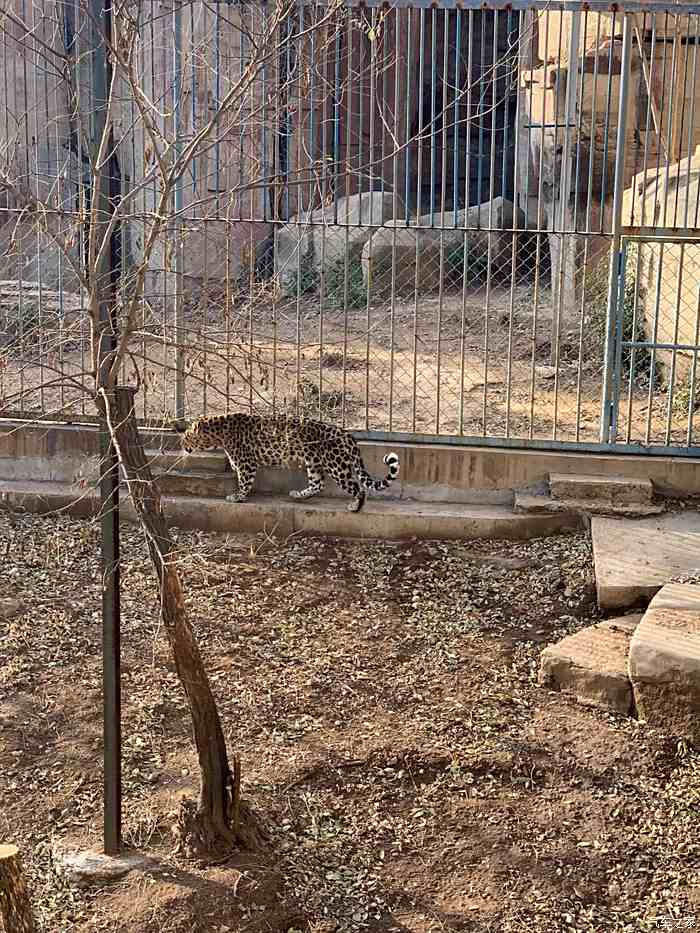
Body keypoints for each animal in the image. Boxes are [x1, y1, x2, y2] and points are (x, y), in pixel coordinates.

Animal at [180, 410, 400, 510]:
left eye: (187, 436)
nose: (182, 444)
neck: (219, 434)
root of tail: (346, 434)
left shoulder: (247, 463)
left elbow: (244, 482)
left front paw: (237, 497)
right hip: (313, 461)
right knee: (318, 484)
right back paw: (298, 495)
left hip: (336, 466)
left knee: (358, 487)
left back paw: (355, 507)